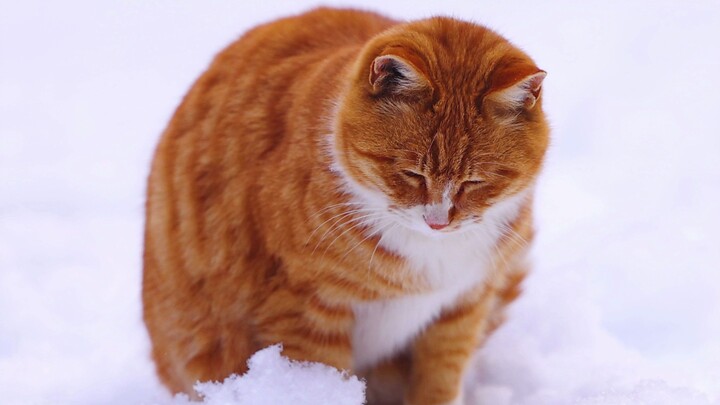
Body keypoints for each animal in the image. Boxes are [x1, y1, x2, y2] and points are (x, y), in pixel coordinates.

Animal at [141, 7, 548, 404]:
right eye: (411, 174)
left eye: (475, 182)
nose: (438, 221)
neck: (430, 252)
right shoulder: (307, 310)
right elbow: (319, 379)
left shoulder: (463, 307)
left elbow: (439, 381)